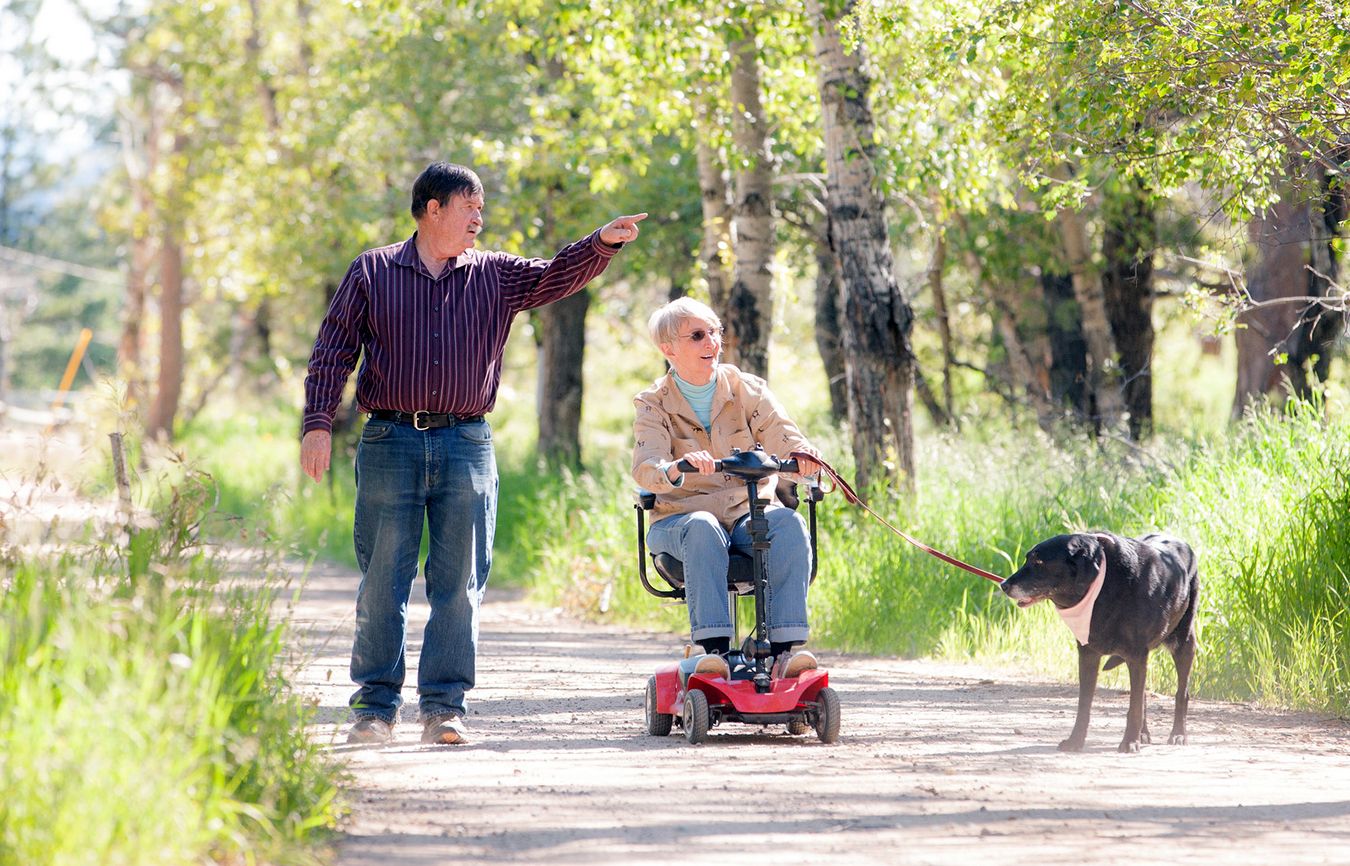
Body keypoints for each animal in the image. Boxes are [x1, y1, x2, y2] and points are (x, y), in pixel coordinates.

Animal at [1004, 529, 1204, 751]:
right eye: (1028, 559)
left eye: (1038, 561)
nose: (1003, 585)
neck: (1103, 586)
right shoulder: (1088, 654)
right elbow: (1085, 705)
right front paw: (1076, 741)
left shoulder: (1136, 655)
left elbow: (1135, 706)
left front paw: (1129, 742)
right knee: (1142, 695)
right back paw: (1143, 733)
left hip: (1183, 642)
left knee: (1180, 693)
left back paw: (1178, 734)